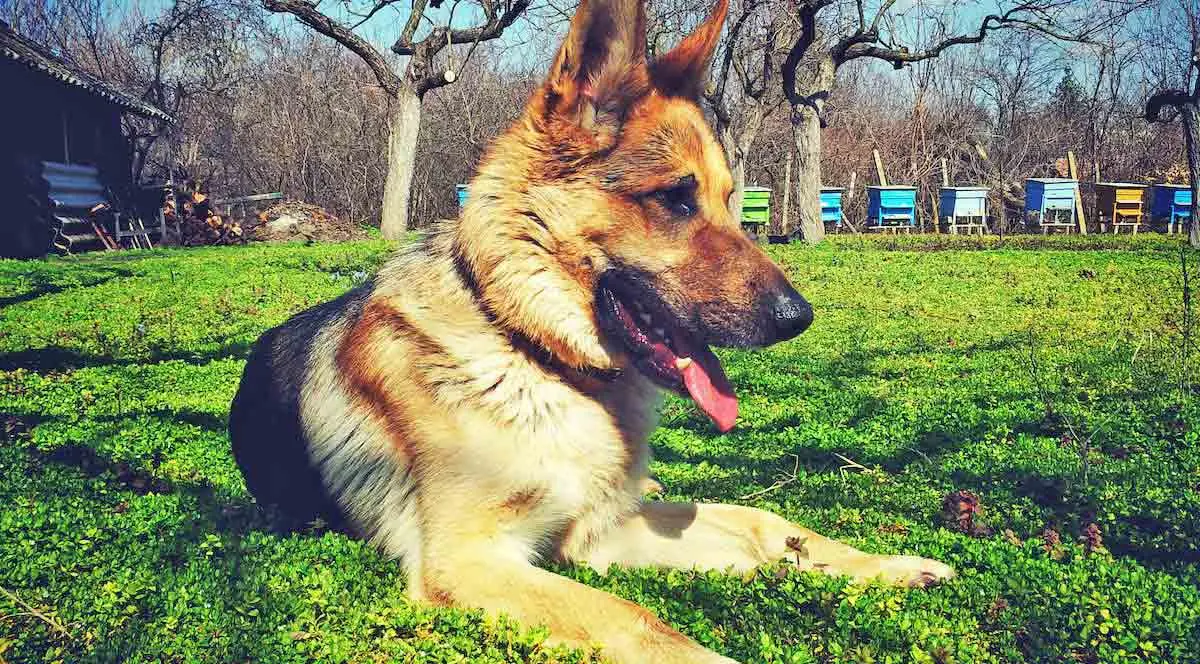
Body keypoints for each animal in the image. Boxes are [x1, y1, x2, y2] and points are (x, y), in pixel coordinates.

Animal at [229, 0, 950, 657]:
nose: (800, 317)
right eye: (676, 199)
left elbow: (754, 523)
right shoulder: (471, 559)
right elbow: (637, 619)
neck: (532, 352)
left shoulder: (598, 533)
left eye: (728, 200)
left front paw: (881, 565)